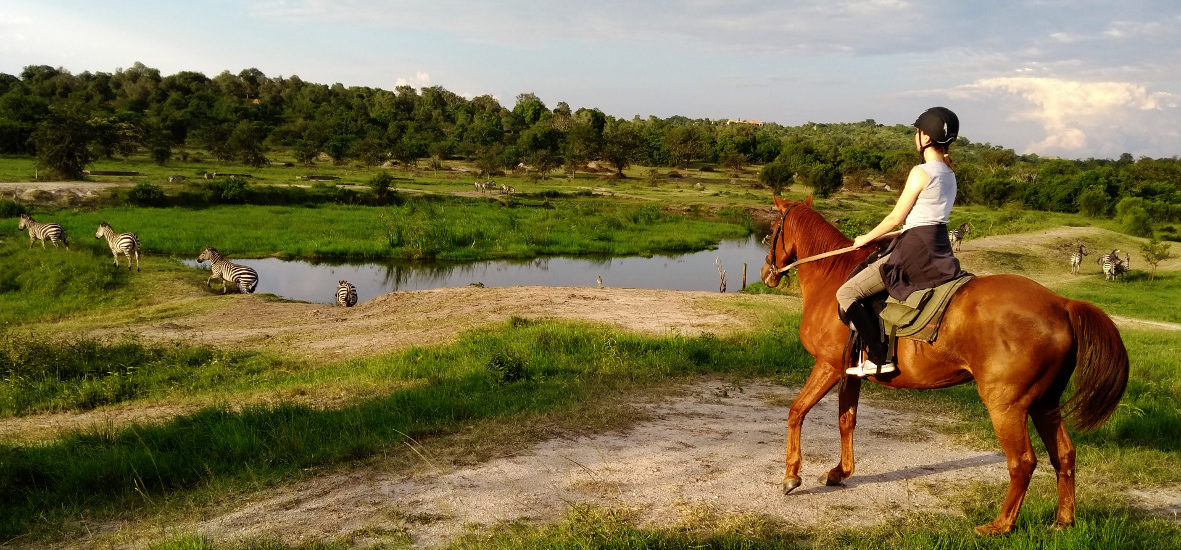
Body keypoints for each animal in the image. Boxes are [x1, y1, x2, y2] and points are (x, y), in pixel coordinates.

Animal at [760, 195, 1129, 535]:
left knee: (1023, 462)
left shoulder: (827, 367)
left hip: (1007, 406)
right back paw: (1063, 521)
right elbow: (846, 421)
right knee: (1064, 454)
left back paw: (999, 525)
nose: (766, 273)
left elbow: (796, 411)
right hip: (1044, 404)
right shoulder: (850, 373)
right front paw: (841, 472)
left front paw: (791, 476)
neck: (833, 277)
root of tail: (1062, 304)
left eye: (772, 229)